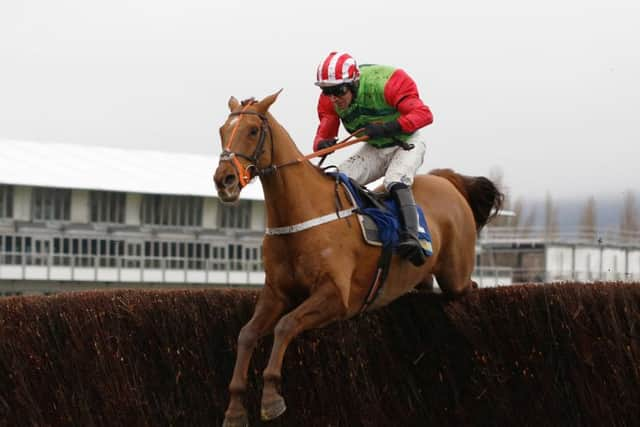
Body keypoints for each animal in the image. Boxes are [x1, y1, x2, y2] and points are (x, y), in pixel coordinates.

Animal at [212, 92, 502, 426]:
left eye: (253, 131)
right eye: (222, 131)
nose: (224, 180)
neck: (300, 215)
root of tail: (447, 181)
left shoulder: (336, 297)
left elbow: (285, 325)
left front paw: (272, 397)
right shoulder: (276, 293)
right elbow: (246, 334)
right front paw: (235, 409)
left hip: (455, 274)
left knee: (468, 284)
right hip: (422, 275)